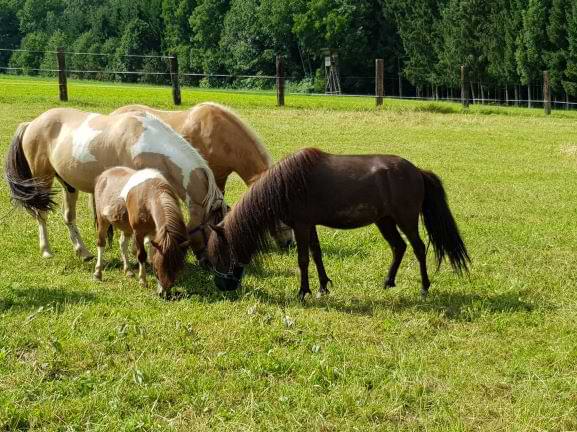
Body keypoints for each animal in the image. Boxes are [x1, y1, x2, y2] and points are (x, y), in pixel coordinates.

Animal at [4, 109, 226, 262]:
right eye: (212, 229)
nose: (209, 262)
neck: (146, 142)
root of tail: (32, 123)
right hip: (42, 179)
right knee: (41, 214)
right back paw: (47, 251)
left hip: (68, 185)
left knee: (68, 217)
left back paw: (83, 252)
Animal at [93, 166, 190, 296]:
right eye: (156, 269)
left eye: (177, 269)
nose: (164, 293)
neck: (150, 194)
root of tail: (105, 174)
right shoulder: (139, 232)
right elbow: (141, 255)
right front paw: (143, 281)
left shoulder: (155, 234)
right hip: (102, 220)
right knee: (101, 244)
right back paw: (98, 273)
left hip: (125, 225)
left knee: (122, 244)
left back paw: (128, 270)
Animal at [207, 148, 468, 300]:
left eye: (222, 254)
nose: (221, 285)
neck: (286, 185)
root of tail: (417, 171)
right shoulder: (309, 225)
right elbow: (316, 254)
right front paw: (323, 286)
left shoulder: (301, 225)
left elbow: (303, 259)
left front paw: (303, 292)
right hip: (384, 221)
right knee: (399, 247)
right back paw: (388, 282)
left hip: (406, 220)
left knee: (418, 248)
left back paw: (424, 287)